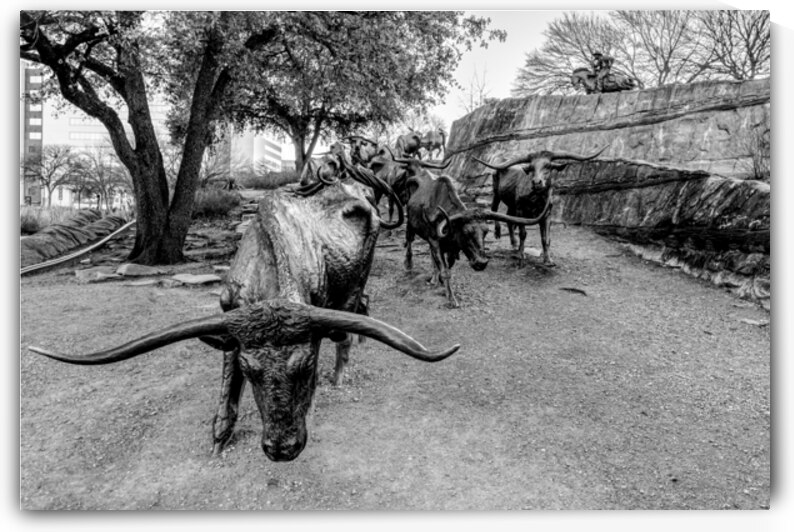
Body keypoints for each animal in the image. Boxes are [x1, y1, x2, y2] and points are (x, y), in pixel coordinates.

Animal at [28, 153, 458, 462]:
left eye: (306, 367)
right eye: (251, 372)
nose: (282, 449)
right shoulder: (230, 326)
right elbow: (226, 377)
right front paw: (220, 434)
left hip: (356, 280)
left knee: (352, 314)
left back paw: (344, 367)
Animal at [392, 157, 552, 308]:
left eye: (486, 232)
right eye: (466, 232)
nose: (481, 263)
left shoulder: (450, 248)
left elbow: (446, 267)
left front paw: (441, 284)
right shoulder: (435, 241)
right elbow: (445, 271)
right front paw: (451, 299)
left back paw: (433, 278)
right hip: (410, 224)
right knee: (409, 241)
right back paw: (408, 265)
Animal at [472, 146, 607, 267]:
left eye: (548, 165)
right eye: (531, 167)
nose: (537, 182)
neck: (536, 198)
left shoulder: (546, 215)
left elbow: (545, 238)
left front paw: (548, 260)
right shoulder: (521, 211)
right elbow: (523, 233)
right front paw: (521, 255)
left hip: (511, 204)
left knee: (508, 219)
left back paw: (514, 244)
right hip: (496, 193)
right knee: (494, 209)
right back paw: (498, 232)